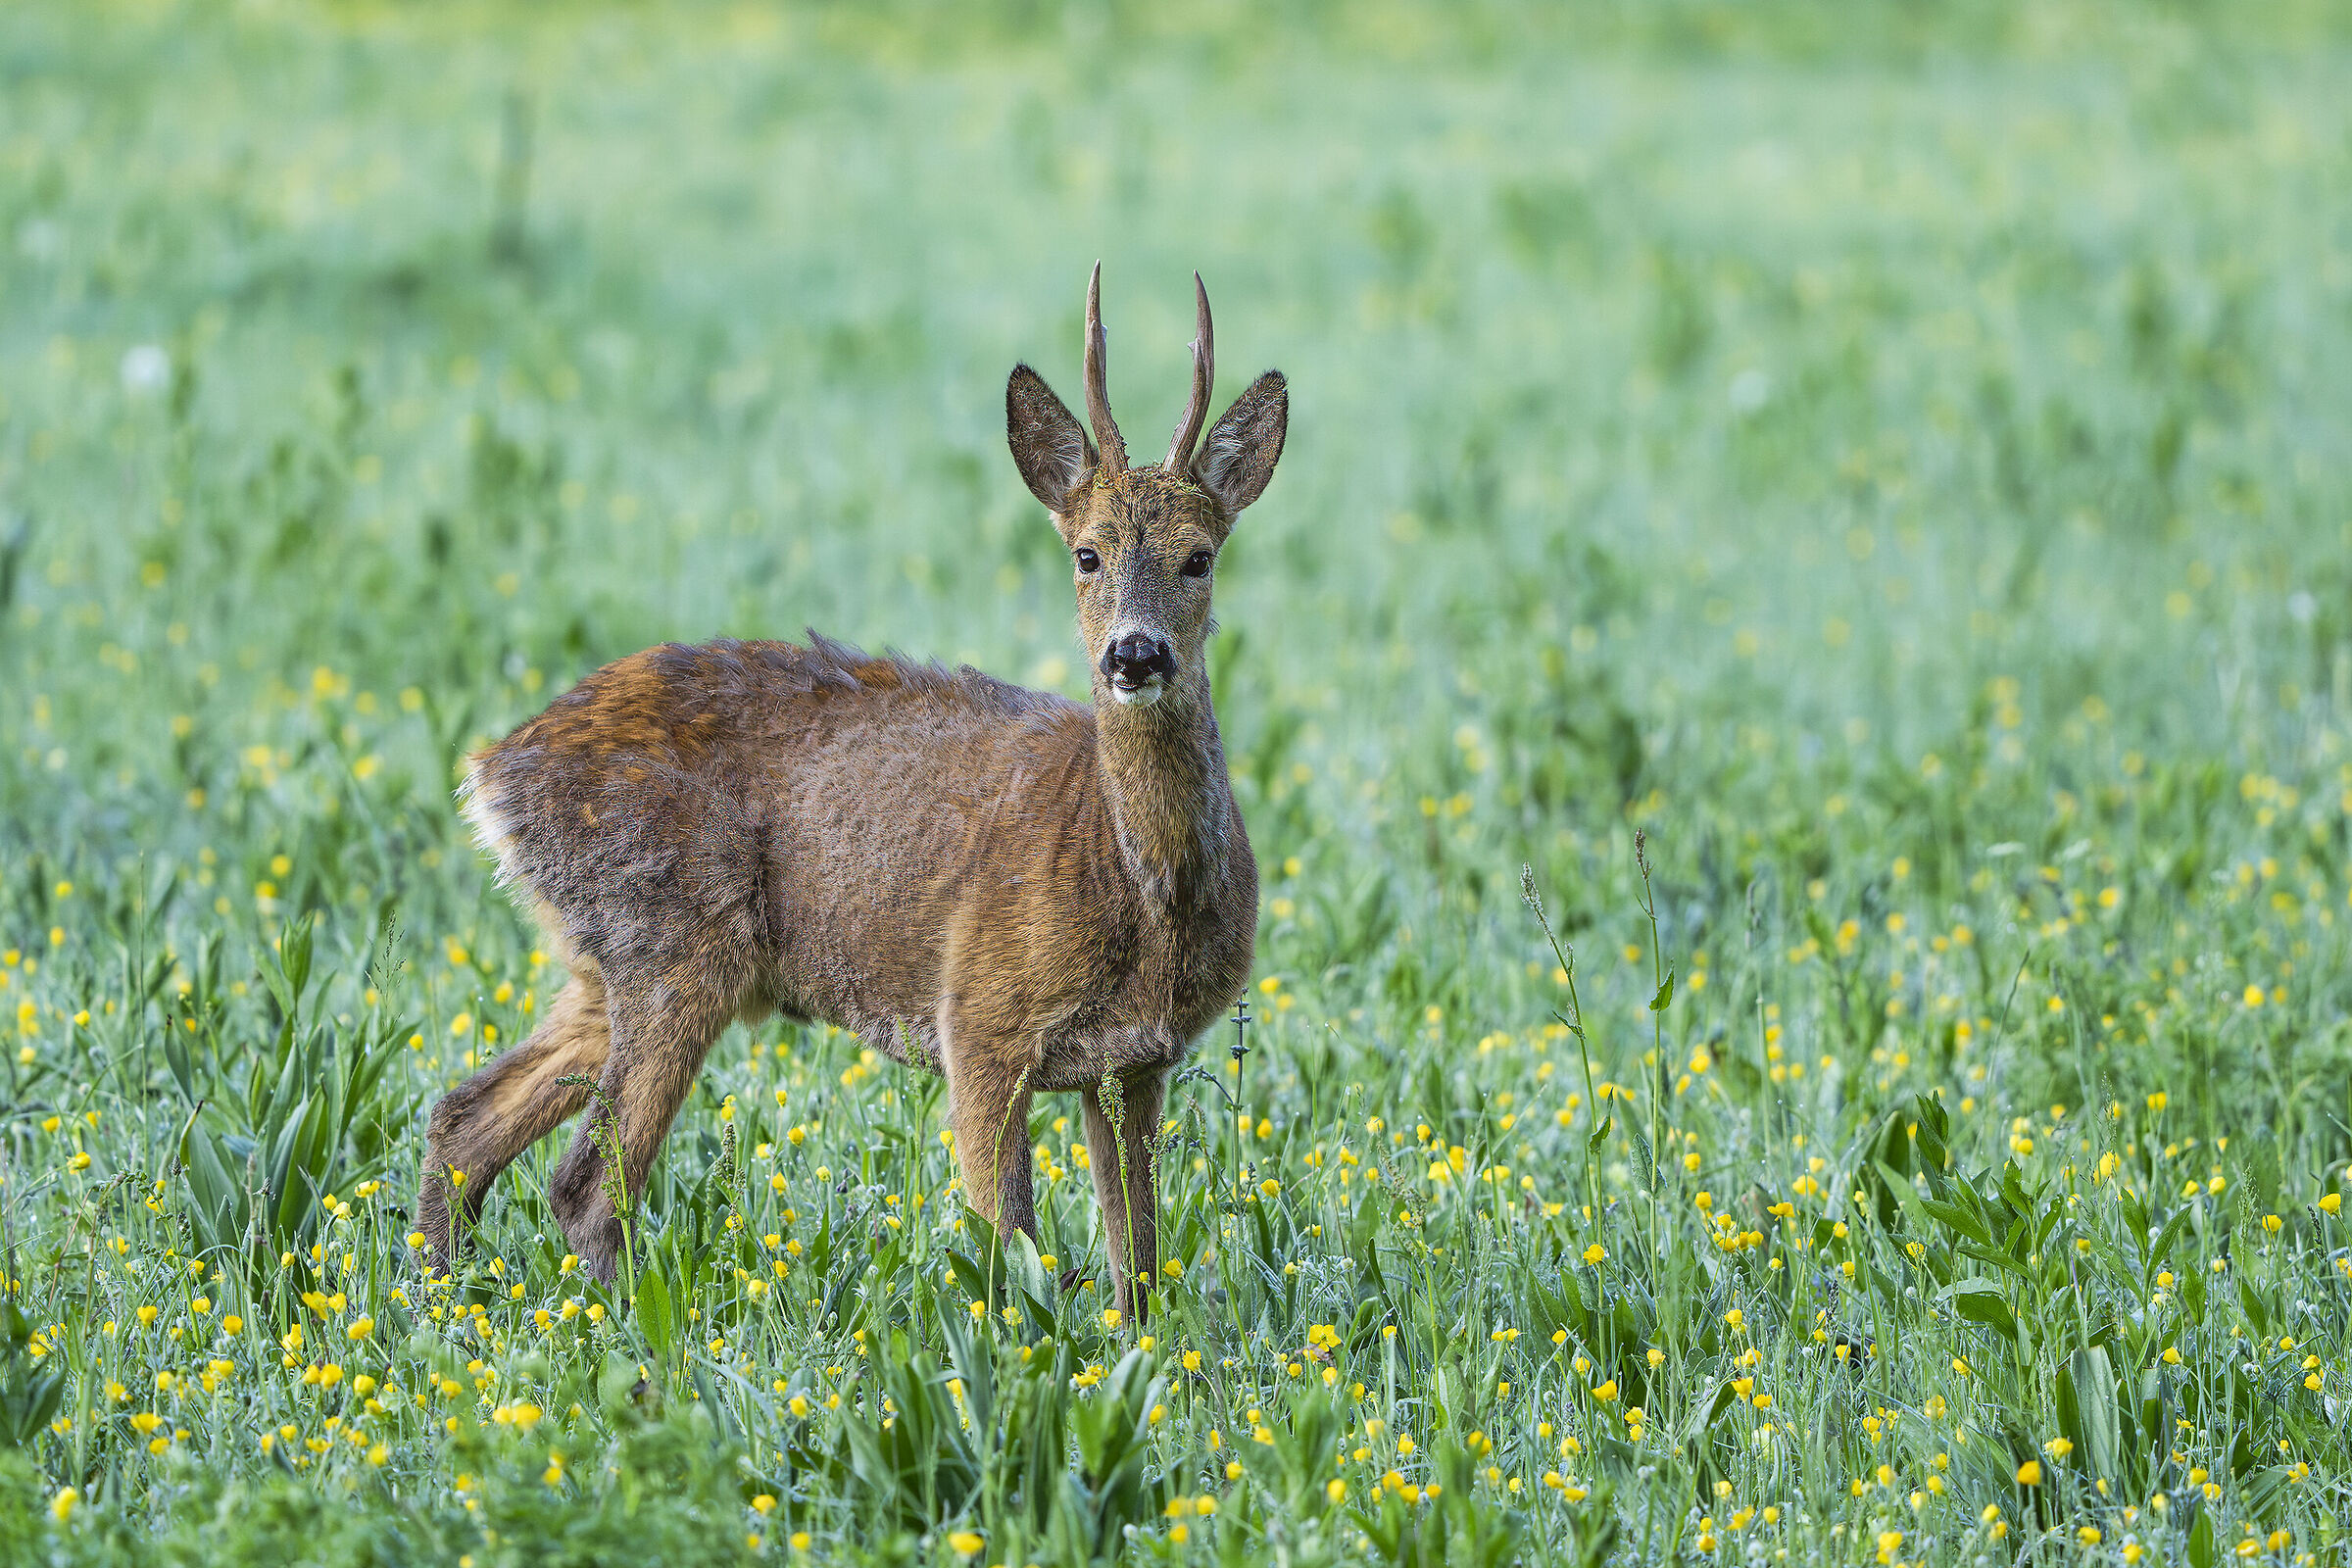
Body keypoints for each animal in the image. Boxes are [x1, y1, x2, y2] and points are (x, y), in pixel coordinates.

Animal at [414, 266, 1285, 1323]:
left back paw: (437, 1307)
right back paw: (647, 1338)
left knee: (464, 1117)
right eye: (1086, 552)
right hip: (673, 938)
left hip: (599, 961)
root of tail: (492, 771)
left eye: (1201, 555)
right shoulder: (979, 1017)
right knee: (584, 1181)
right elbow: (1011, 1246)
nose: (1136, 654)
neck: (1134, 885)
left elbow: (1139, 1265)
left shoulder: (1138, 1061)